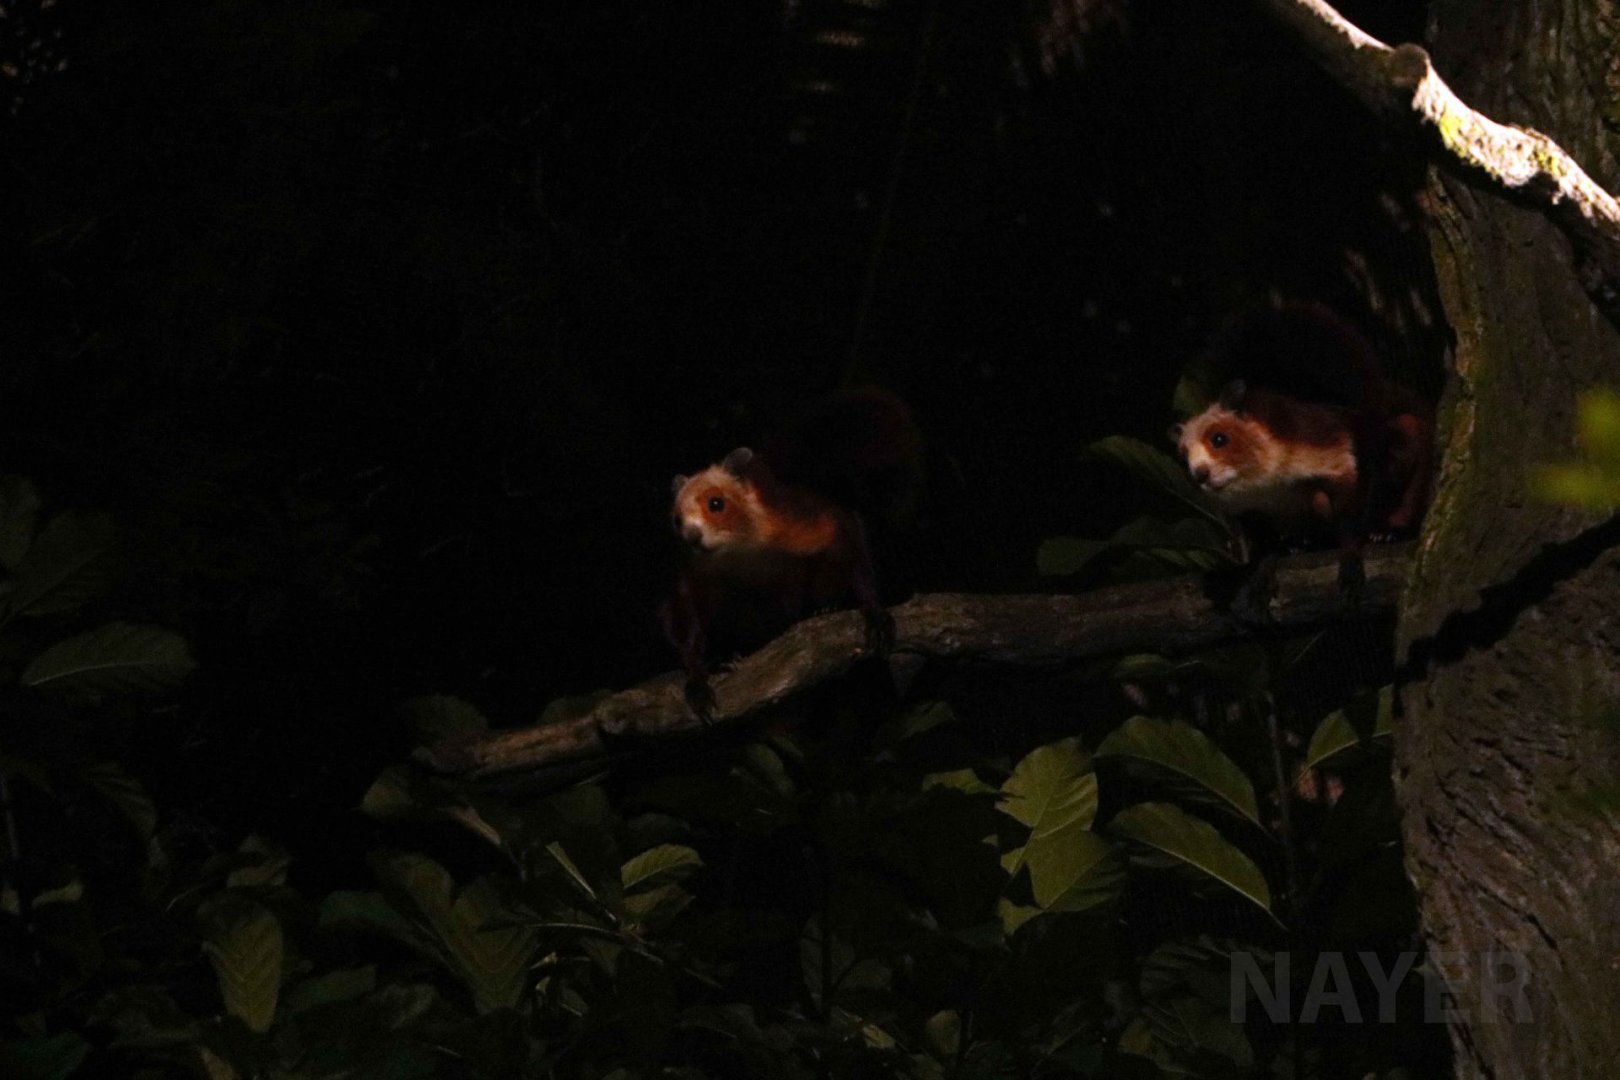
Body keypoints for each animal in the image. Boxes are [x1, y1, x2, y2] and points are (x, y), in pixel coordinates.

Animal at [661, 386, 923, 716]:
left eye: (716, 503)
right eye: (676, 520)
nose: (692, 537)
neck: (741, 550)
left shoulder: (805, 523)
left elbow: (850, 542)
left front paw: (874, 613)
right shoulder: (699, 574)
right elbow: (685, 617)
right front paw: (698, 677)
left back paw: (823, 609)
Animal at [1168, 303, 1434, 588]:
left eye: (1219, 439)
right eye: (1182, 456)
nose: (1200, 474)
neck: (1264, 483)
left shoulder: (1337, 455)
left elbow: (1353, 515)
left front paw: (1352, 555)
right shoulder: (1247, 511)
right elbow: (1264, 542)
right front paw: (1268, 562)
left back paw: (1388, 531)